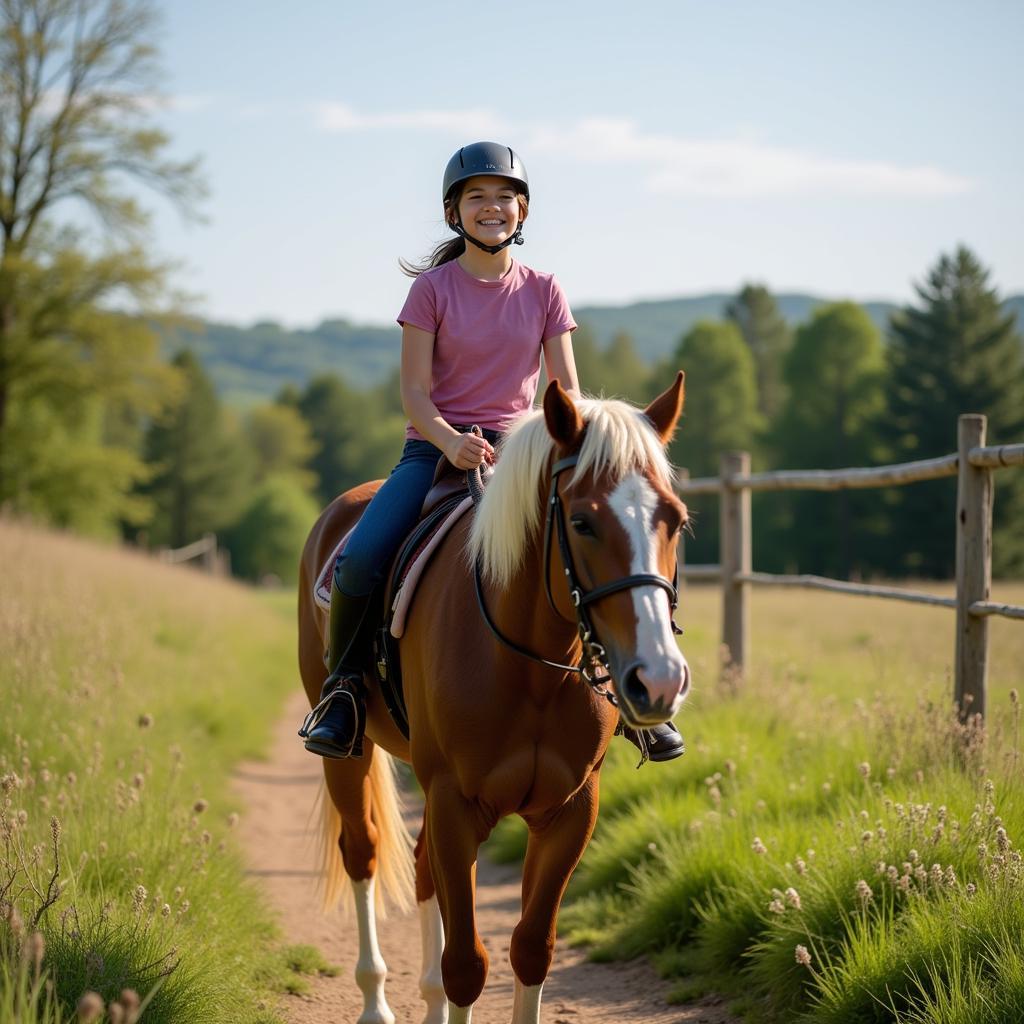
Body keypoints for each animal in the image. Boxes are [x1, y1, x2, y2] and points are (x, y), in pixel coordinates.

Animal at [299, 376, 696, 1024]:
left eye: (676, 521)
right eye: (582, 522)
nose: (658, 679)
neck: (530, 668)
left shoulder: (570, 811)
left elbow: (532, 949)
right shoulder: (456, 805)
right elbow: (467, 964)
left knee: (420, 867)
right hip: (350, 758)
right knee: (364, 851)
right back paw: (375, 1002)